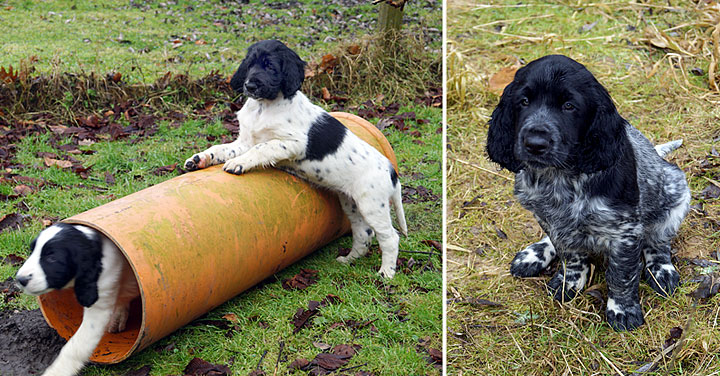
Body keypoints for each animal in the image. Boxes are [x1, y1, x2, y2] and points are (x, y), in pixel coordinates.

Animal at [14, 225, 139, 374]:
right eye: (32, 251)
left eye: (52, 258)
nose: (20, 279)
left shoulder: (99, 303)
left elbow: (76, 346)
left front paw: (57, 371)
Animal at [183, 39, 408, 278]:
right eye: (250, 65)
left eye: (270, 66)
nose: (250, 86)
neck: (264, 106)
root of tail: (392, 172)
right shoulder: (244, 142)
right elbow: (221, 147)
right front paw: (199, 159)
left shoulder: (294, 142)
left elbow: (263, 146)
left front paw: (239, 163)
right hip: (352, 204)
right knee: (364, 233)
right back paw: (348, 260)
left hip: (373, 204)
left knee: (390, 237)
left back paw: (386, 273)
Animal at [486, 54, 688, 330]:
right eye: (523, 102)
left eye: (569, 106)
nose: (535, 144)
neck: (559, 177)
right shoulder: (548, 217)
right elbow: (570, 256)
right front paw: (570, 282)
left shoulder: (625, 230)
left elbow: (621, 274)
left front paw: (622, 309)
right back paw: (535, 254)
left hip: (676, 192)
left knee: (658, 240)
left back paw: (661, 269)